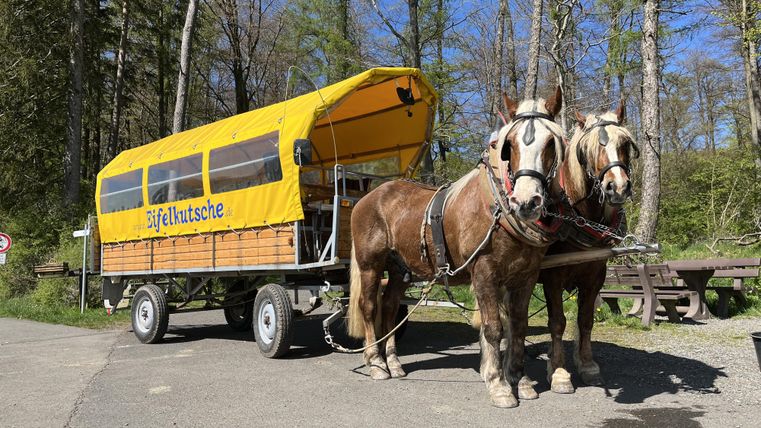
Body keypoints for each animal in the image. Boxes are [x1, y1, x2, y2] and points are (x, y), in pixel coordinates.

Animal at [346, 87, 567, 408]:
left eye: (551, 142)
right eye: (509, 145)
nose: (526, 202)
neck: (497, 210)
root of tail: (369, 195)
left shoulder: (525, 276)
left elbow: (519, 325)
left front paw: (520, 380)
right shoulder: (485, 273)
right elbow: (494, 328)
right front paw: (499, 385)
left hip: (400, 269)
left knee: (389, 307)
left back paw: (393, 362)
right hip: (370, 264)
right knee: (369, 306)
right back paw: (375, 362)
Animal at [539, 102, 639, 393]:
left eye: (625, 143)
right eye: (588, 148)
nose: (618, 186)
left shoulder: (595, 276)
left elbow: (585, 320)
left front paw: (587, 365)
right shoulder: (552, 277)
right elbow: (557, 321)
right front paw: (558, 371)